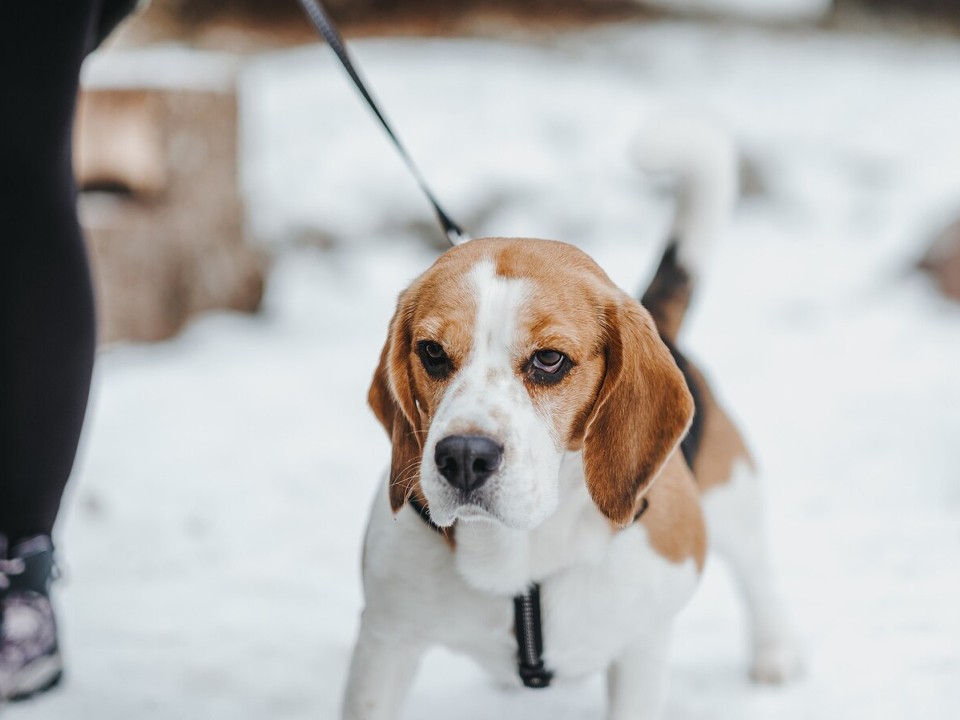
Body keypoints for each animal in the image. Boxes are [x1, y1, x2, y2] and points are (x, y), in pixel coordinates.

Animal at [344, 119, 804, 720]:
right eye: (433, 353)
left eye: (549, 360)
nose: (463, 457)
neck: (519, 548)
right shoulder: (386, 641)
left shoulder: (641, 649)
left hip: (734, 498)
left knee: (759, 573)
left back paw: (776, 654)